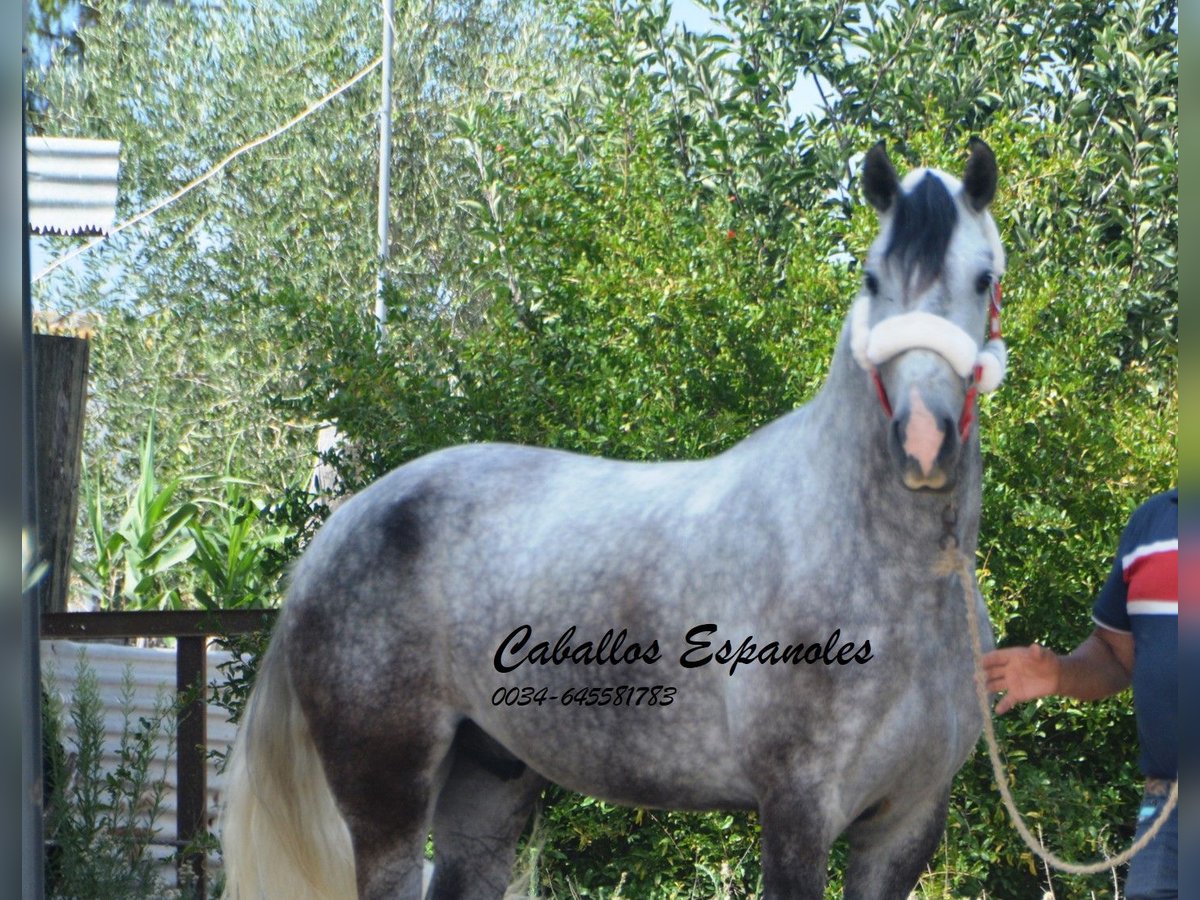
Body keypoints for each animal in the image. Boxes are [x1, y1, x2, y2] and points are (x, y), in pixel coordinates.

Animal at [223, 141, 1003, 900]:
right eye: (872, 280)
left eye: (985, 279)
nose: (923, 440)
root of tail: (338, 532)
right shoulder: (797, 811)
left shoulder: (906, 822)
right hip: (386, 792)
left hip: (489, 779)